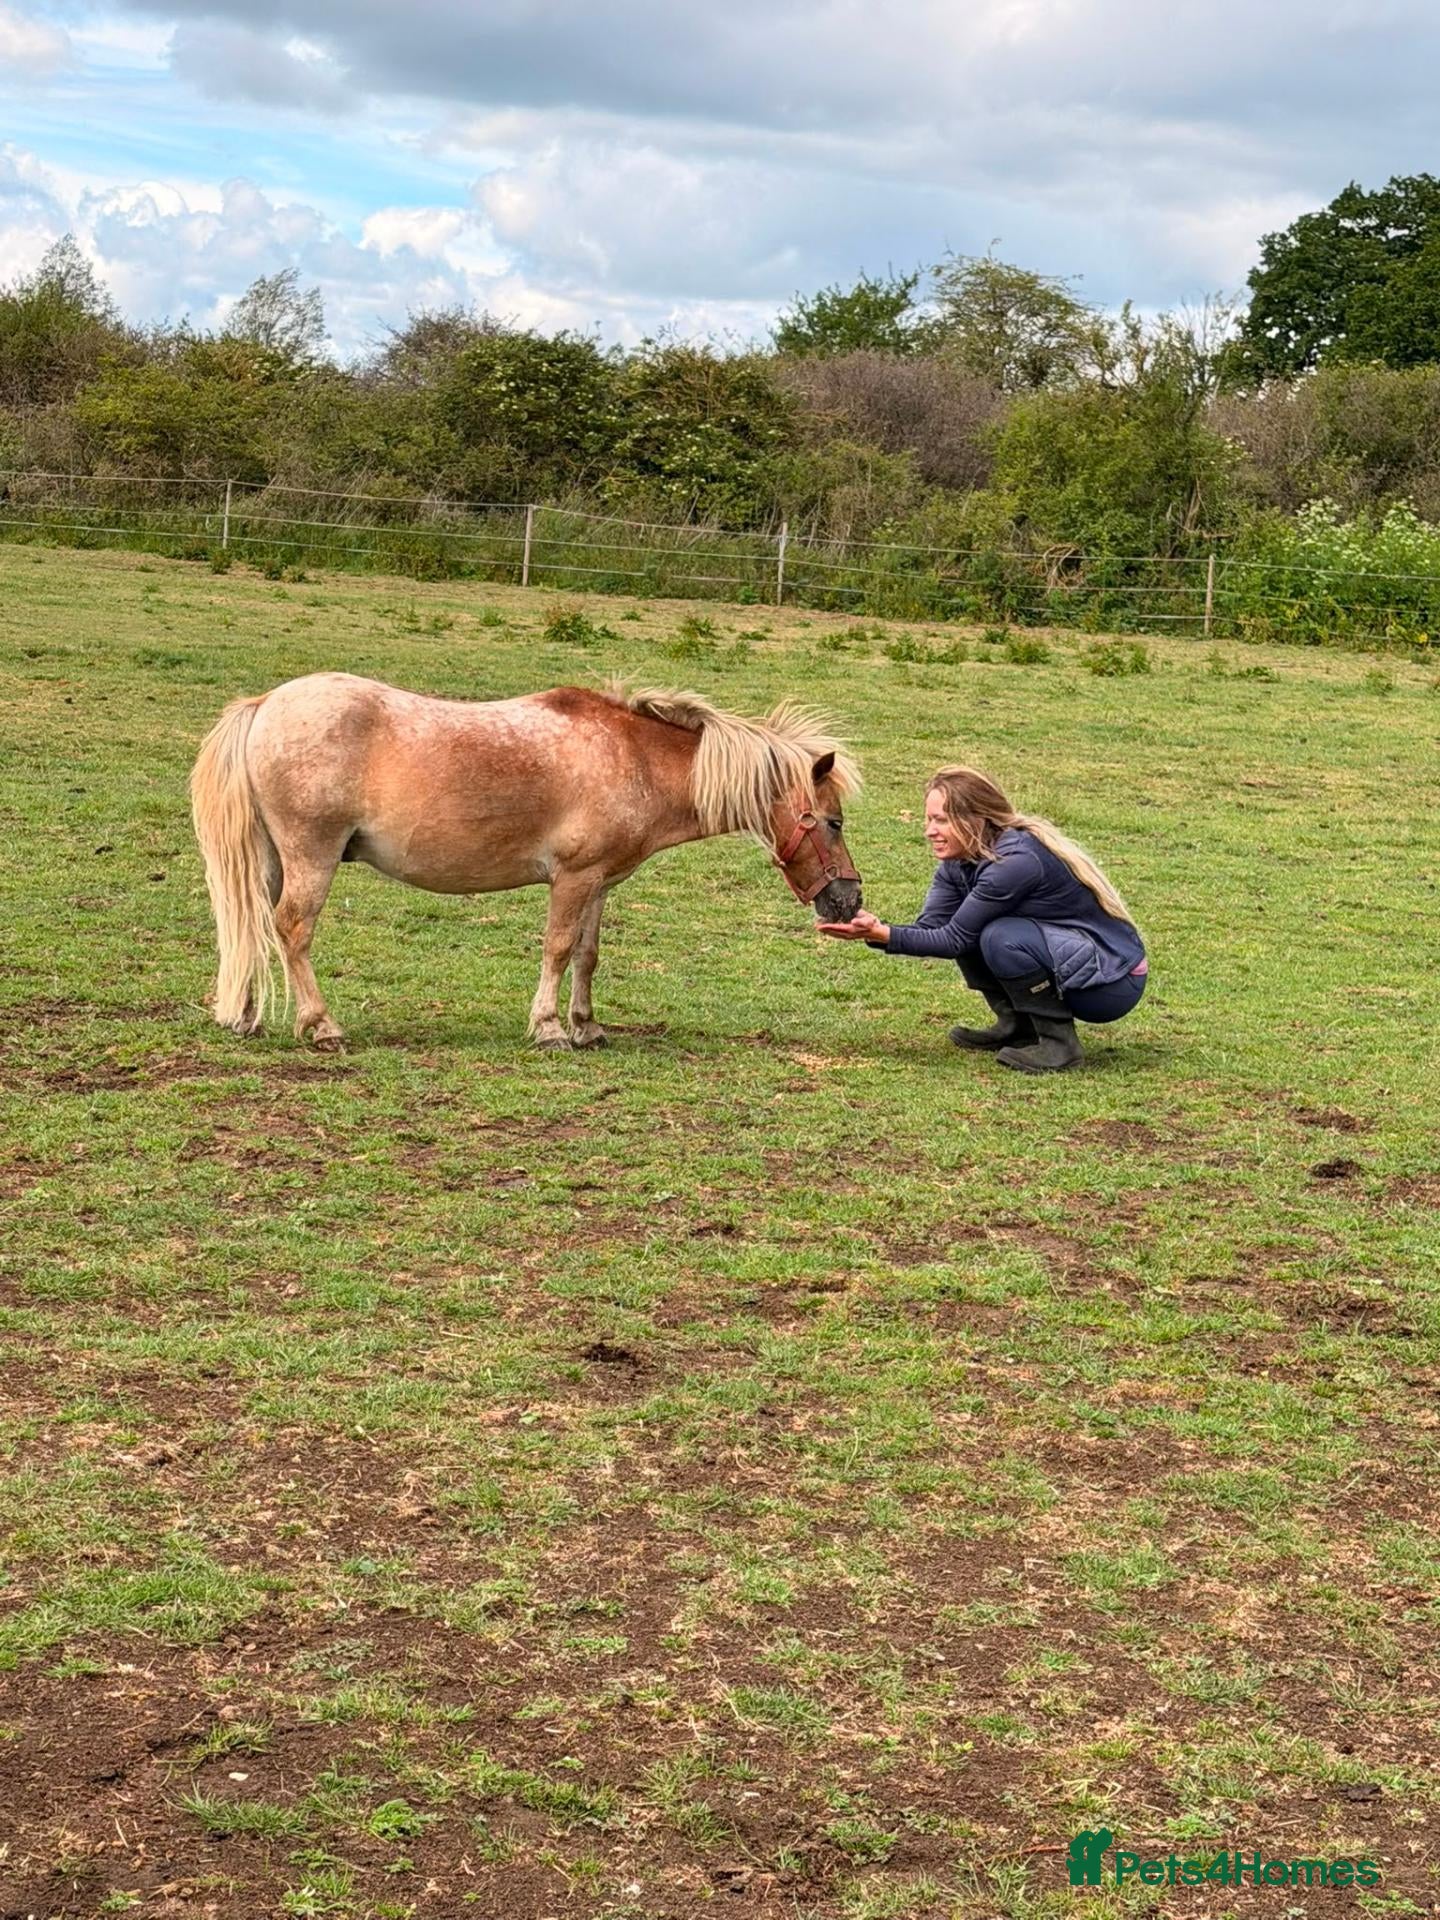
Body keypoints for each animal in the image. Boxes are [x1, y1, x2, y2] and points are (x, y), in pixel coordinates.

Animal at [190, 673, 862, 1051]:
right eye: (834, 822)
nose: (849, 899)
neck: (634, 759)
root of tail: (265, 704)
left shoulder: (599, 883)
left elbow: (588, 954)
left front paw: (588, 1028)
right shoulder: (573, 878)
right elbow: (558, 949)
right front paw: (549, 1029)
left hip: (272, 860)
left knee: (255, 927)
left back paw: (245, 1016)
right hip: (312, 857)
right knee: (293, 930)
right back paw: (321, 1026)